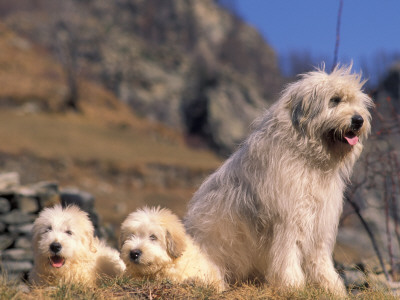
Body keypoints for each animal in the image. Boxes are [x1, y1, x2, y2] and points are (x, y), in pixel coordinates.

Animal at [184, 65, 372, 296]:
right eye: (335, 100)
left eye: (356, 102)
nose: (358, 120)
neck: (309, 158)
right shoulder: (288, 219)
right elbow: (287, 254)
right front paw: (293, 285)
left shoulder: (320, 221)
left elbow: (320, 259)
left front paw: (332, 287)